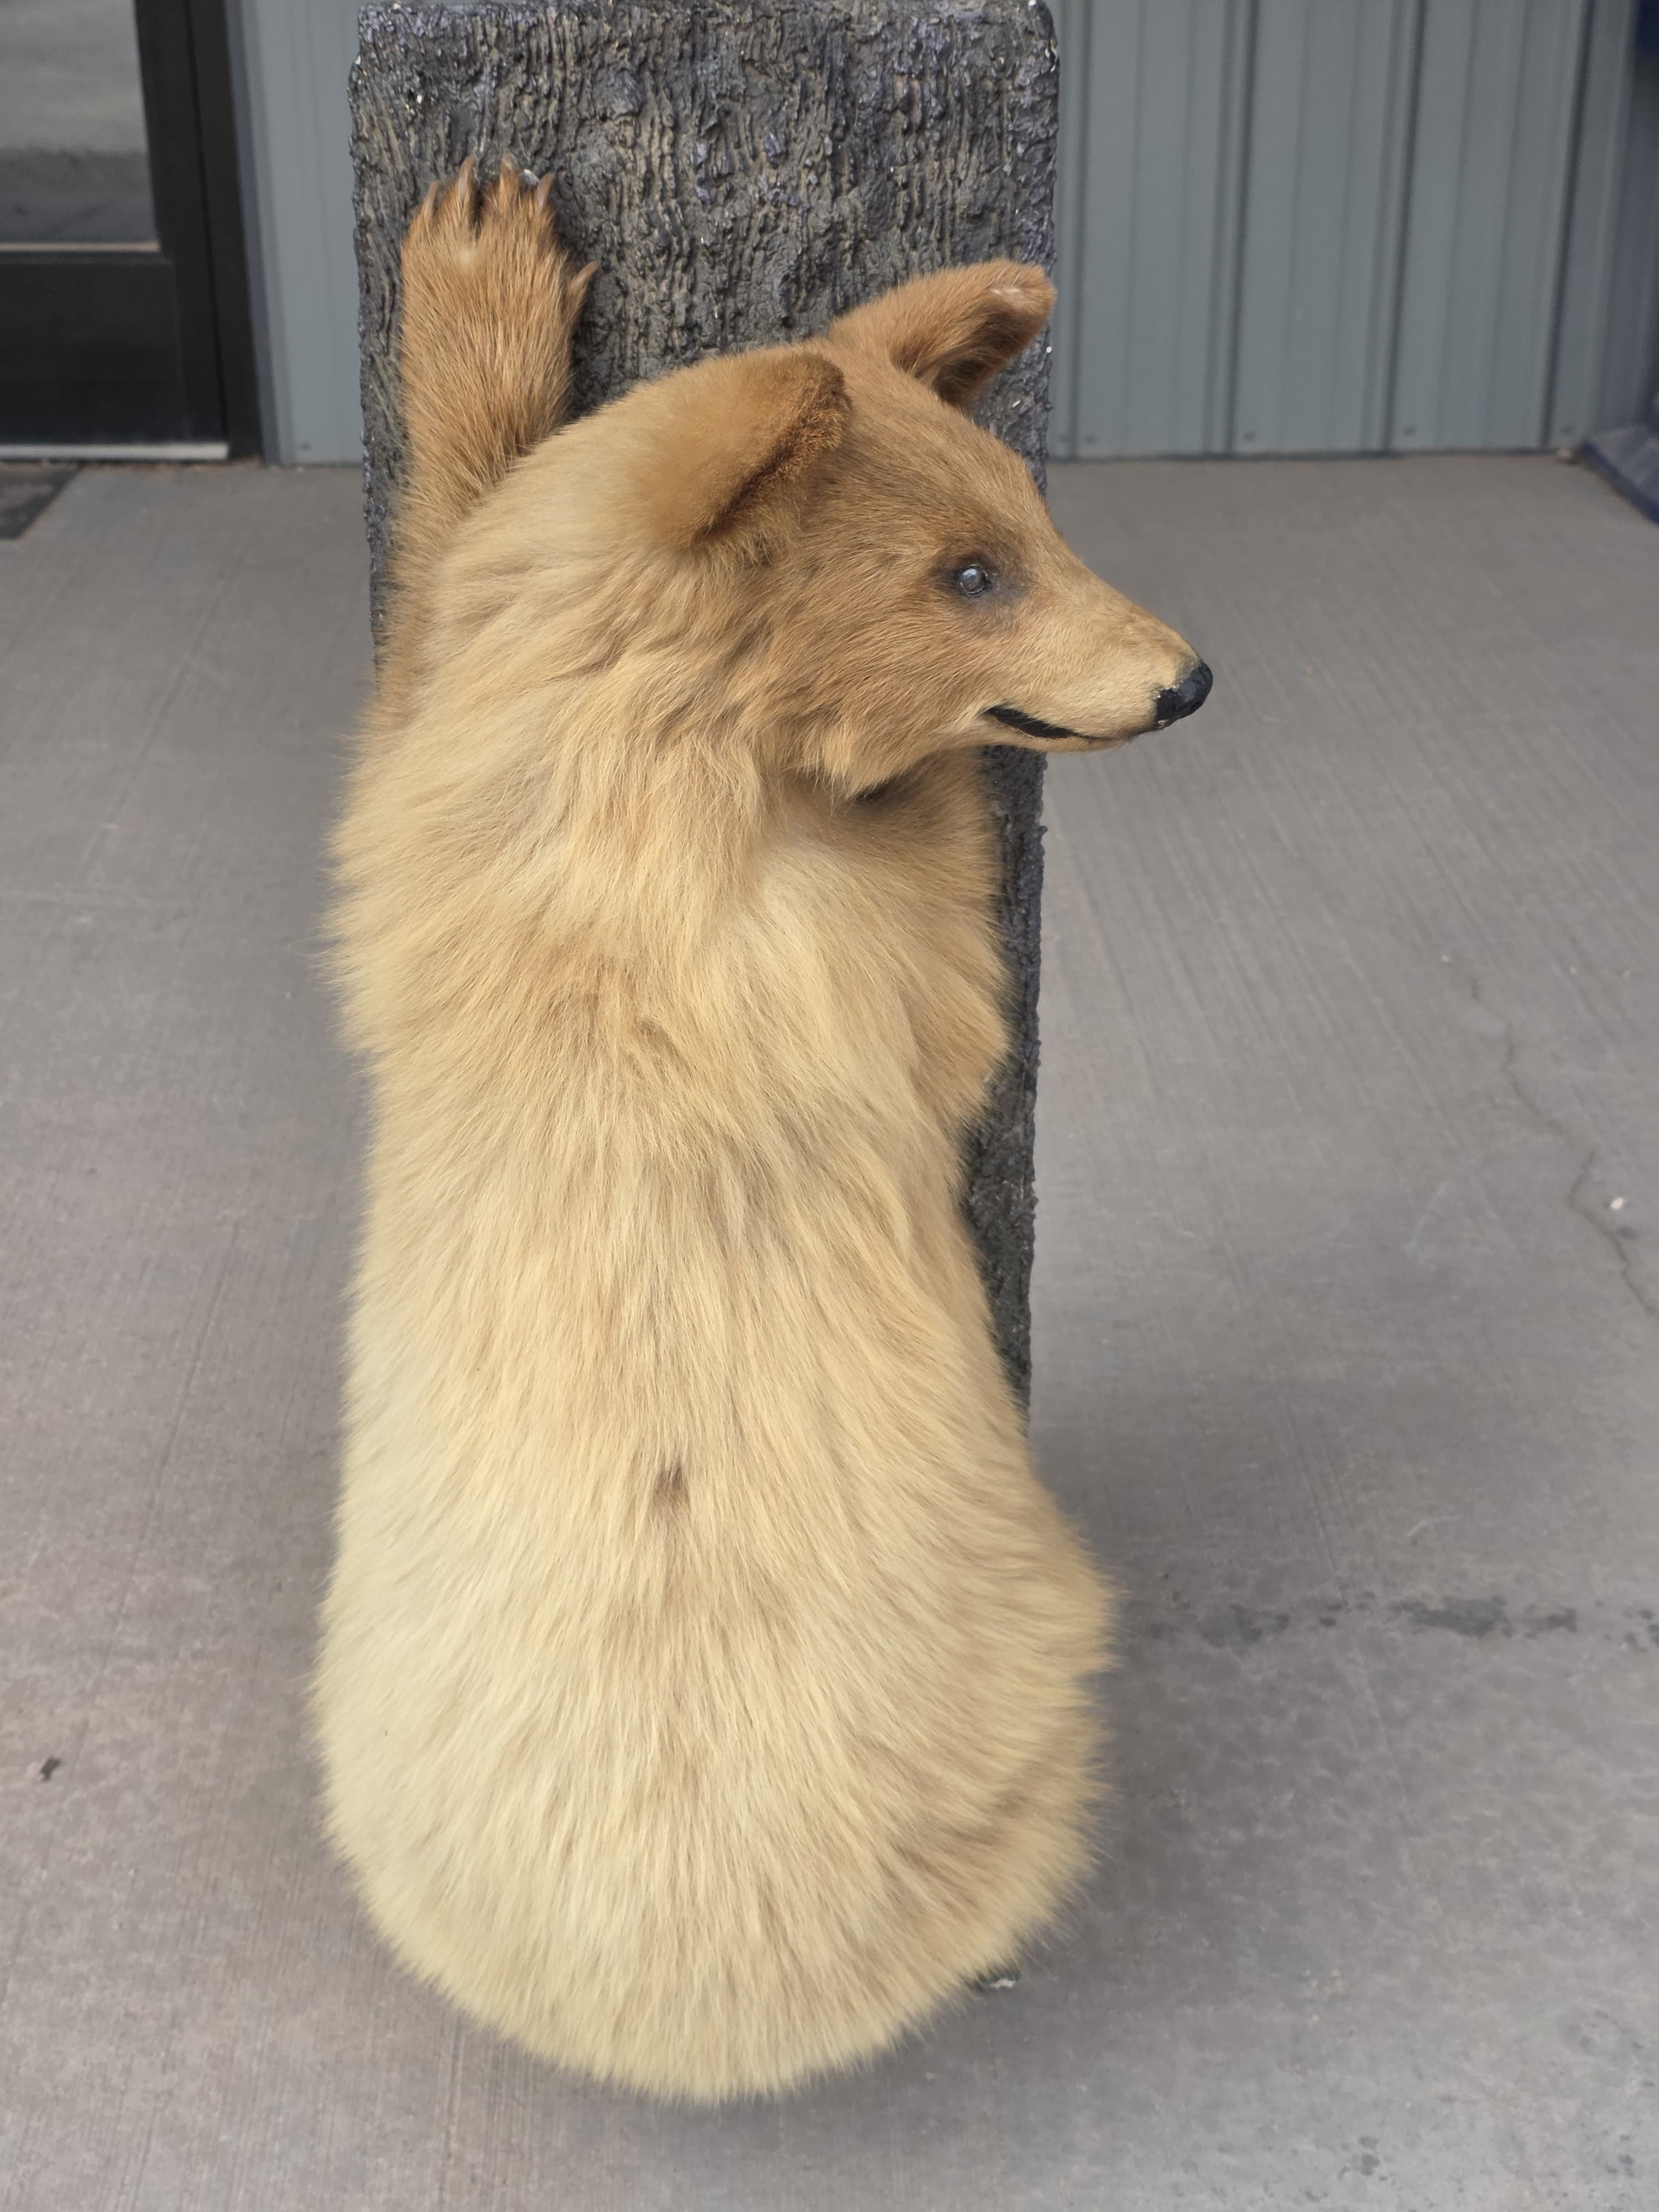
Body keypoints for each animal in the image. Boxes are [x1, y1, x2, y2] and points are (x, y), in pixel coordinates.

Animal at [315, 162, 1210, 2105]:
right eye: (968, 574)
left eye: (1028, 522)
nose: (1188, 680)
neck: (664, 773)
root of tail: (704, 2031)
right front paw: (480, 284)